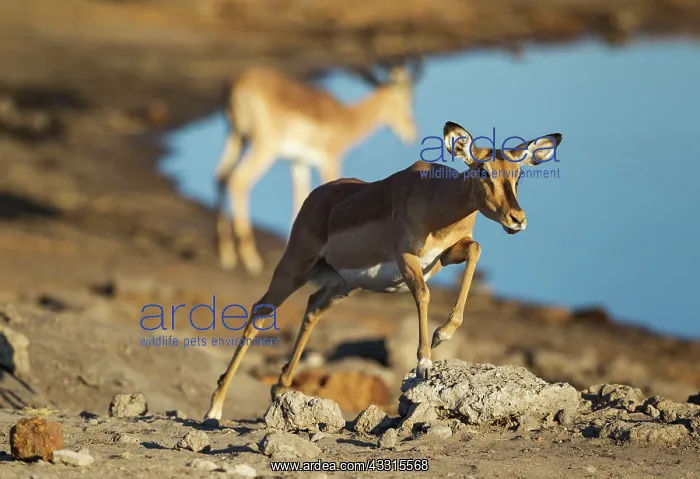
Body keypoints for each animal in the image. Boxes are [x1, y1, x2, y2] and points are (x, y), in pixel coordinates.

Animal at [204, 120, 563, 421]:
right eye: (483, 170)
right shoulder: (406, 257)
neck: (437, 199)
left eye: (517, 175)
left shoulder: (444, 256)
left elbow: (475, 249)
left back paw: (280, 387)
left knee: (312, 308)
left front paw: (443, 333)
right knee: (259, 311)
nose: (517, 219)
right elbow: (423, 293)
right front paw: (424, 363)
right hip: (295, 267)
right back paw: (214, 410)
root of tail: (318, 195)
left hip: (342, 284)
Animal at [215, 59, 423, 276]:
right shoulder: (330, 160)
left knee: (220, 177)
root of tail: (238, 85)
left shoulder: (299, 161)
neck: (346, 118)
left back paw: (226, 254)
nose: (413, 133)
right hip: (264, 147)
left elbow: (300, 198)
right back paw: (250, 259)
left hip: (236, 137)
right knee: (238, 180)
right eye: (408, 100)